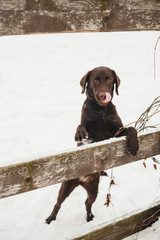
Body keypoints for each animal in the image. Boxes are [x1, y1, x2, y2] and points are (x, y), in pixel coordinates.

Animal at [45, 65, 138, 223]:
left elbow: (132, 129)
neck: (101, 111)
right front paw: (80, 133)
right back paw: (51, 218)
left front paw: (134, 146)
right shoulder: (91, 132)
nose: (102, 95)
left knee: (87, 203)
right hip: (66, 187)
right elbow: (81, 126)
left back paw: (89, 217)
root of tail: (82, 179)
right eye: (95, 80)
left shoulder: (116, 132)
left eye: (109, 79)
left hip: (93, 188)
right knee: (58, 203)